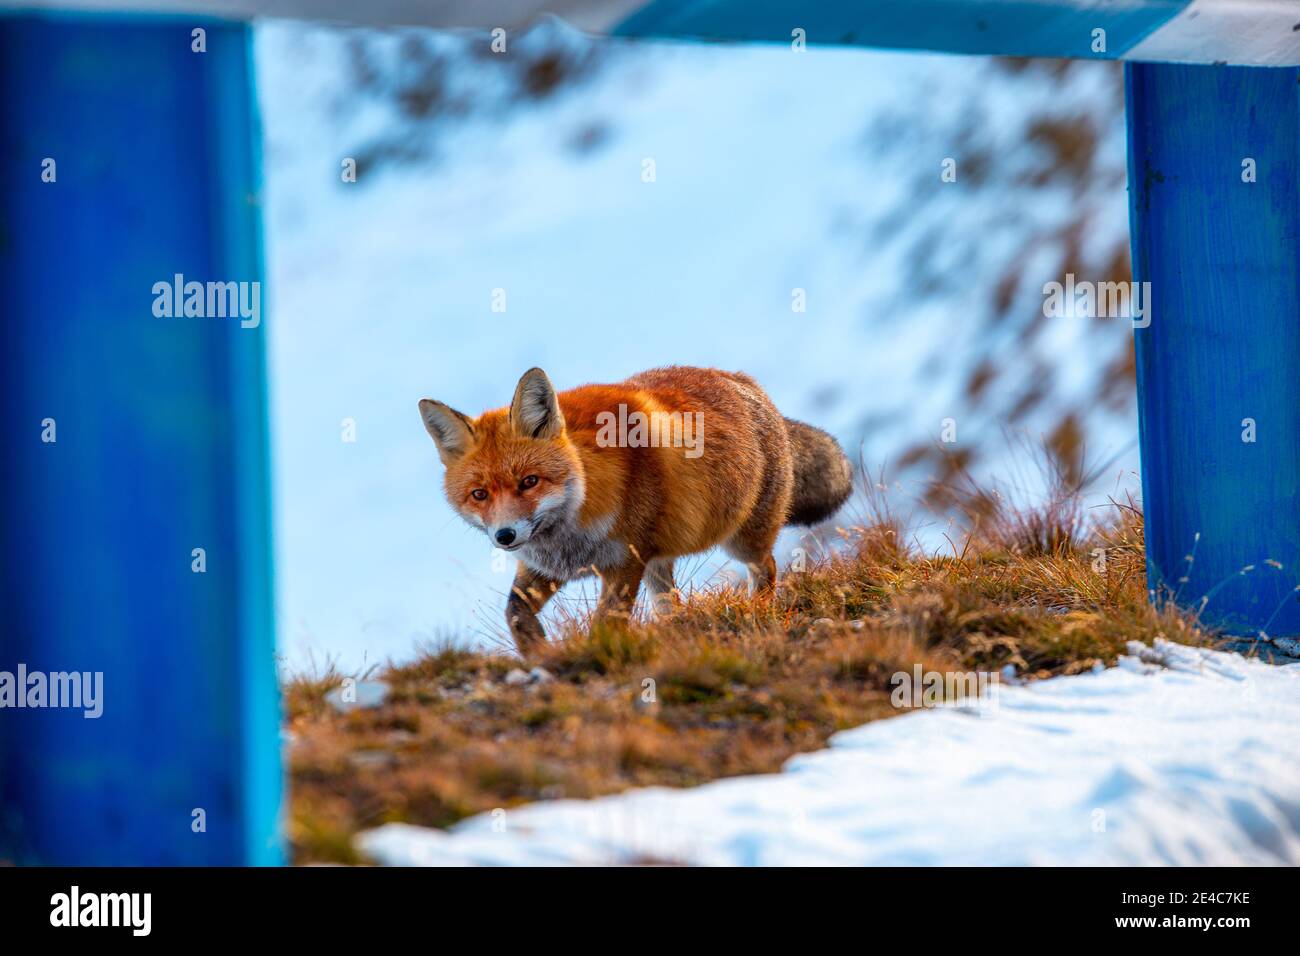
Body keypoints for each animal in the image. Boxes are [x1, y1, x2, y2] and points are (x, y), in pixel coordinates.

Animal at [418, 369, 852, 658]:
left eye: (529, 481)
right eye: (479, 494)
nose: (505, 536)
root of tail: (746, 382)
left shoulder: (624, 563)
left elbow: (604, 626)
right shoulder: (546, 567)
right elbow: (515, 614)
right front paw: (538, 653)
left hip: (741, 541)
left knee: (768, 567)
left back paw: (758, 608)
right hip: (659, 563)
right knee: (670, 602)